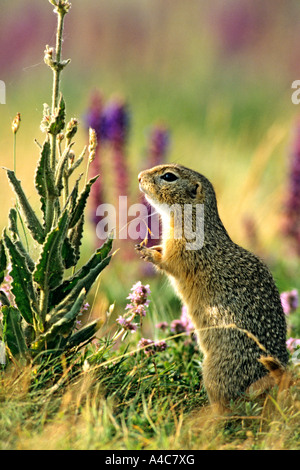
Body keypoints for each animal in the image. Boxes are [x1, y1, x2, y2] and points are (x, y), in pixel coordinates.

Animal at [135, 163, 288, 410]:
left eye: (168, 176)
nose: (139, 176)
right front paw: (149, 248)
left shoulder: (182, 251)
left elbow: (168, 262)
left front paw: (147, 252)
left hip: (214, 373)